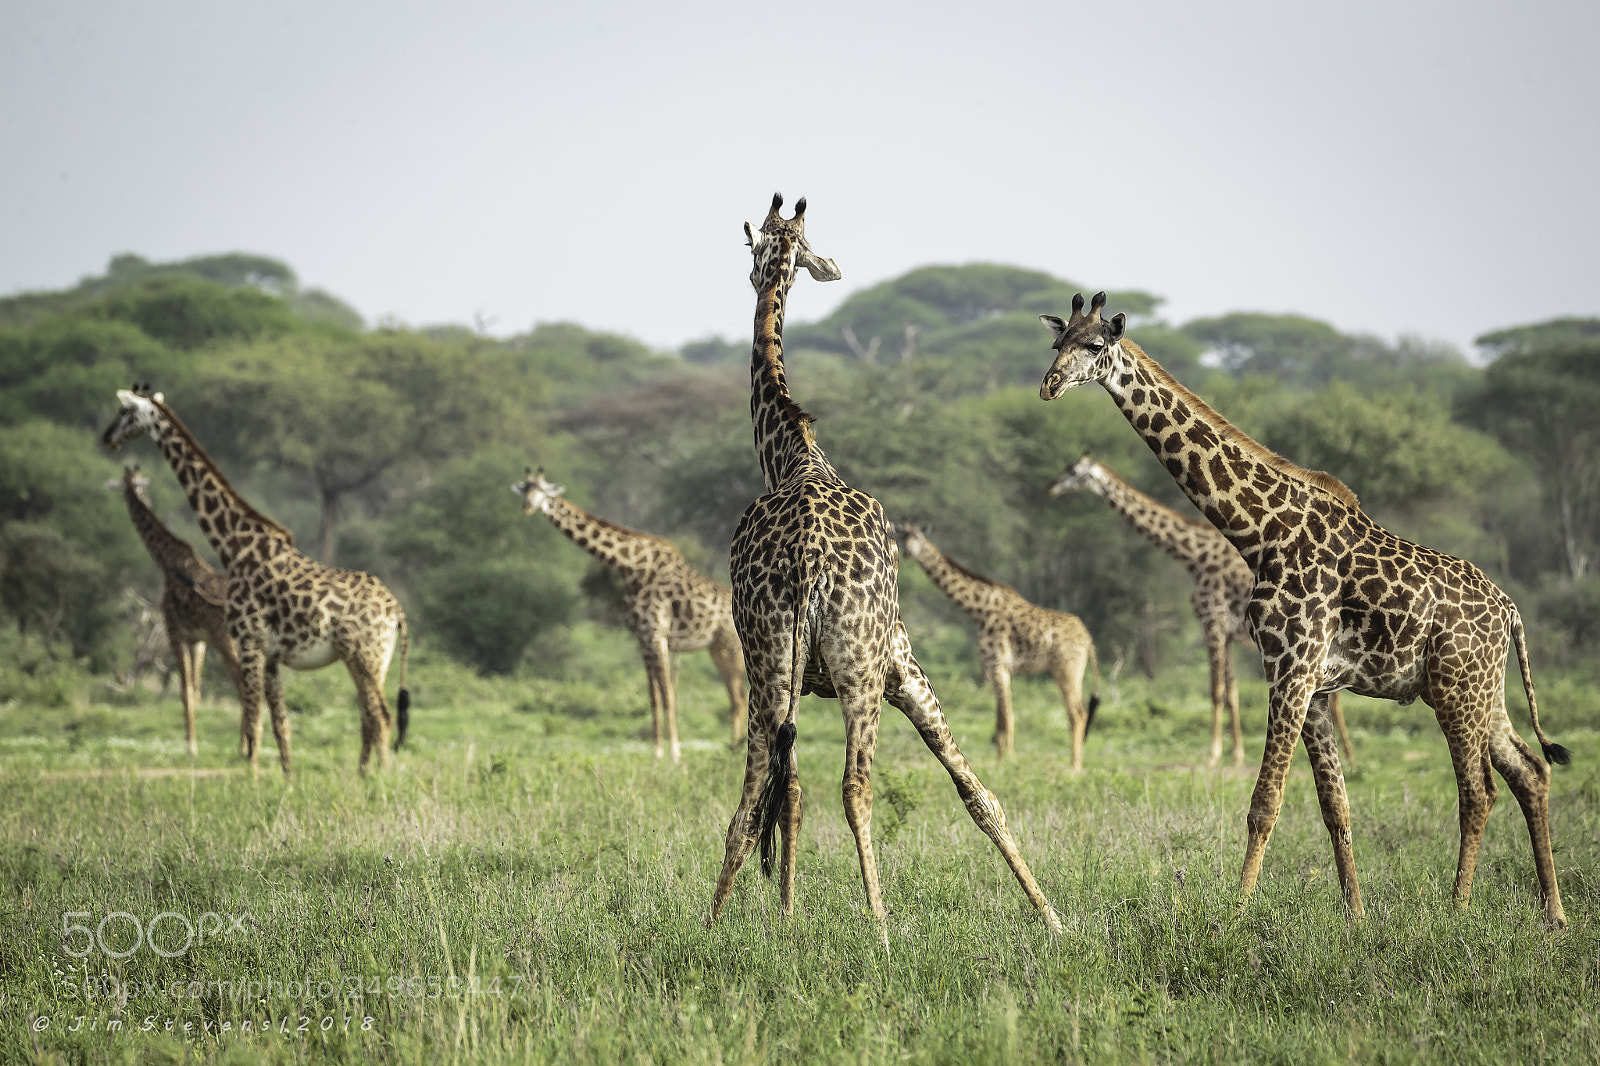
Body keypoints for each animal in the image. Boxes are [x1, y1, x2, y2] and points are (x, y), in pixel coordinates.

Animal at [107, 465, 247, 757]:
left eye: (126, 486)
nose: (128, 495)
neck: (166, 560)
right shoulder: (198, 640)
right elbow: (196, 690)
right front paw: (192, 741)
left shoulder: (174, 631)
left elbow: (185, 691)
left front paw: (190, 747)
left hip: (226, 640)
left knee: (243, 684)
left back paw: (243, 747)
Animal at [512, 468, 748, 759]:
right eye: (526, 489)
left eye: (544, 491)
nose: (527, 507)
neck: (629, 567)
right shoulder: (643, 638)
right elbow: (653, 697)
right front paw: (656, 753)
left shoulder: (657, 633)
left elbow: (669, 695)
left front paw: (675, 754)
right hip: (716, 649)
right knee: (737, 697)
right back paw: (735, 746)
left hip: (730, 648)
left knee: (740, 697)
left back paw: (736, 748)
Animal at [708, 194, 1061, 934]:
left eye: (762, 250)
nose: (753, 278)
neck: (797, 455)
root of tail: (809, 559)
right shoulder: (892, 669)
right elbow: (966, 787)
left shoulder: (873, 669)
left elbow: (798, 792)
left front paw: (785, 919)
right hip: (843, 670)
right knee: (851, 787)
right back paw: (882, 927)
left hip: (784, 666)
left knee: (774, 793)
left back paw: (737, 921)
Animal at [890, 523, 1100, 766]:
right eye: (903, 536)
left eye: (918, 537)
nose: (907, 552)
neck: (979, 610)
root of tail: (1088, 639)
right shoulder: (994, 666)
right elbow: (1002, 717)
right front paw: (1004, 758)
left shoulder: (997, 662)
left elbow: (1005, 717)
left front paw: (1006, 761)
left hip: (1067, 667)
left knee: (1077, 713)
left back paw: (1075, 766)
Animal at [1050, 455, 1358, 771]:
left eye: (1073, 472)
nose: (1051, 487)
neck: (1194, 557)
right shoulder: (1228, 632)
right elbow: (1232, 693)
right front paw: (1236, 754)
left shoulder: (1211, 622)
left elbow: (1215, 691)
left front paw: (1213, 754)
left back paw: (1349, 757)